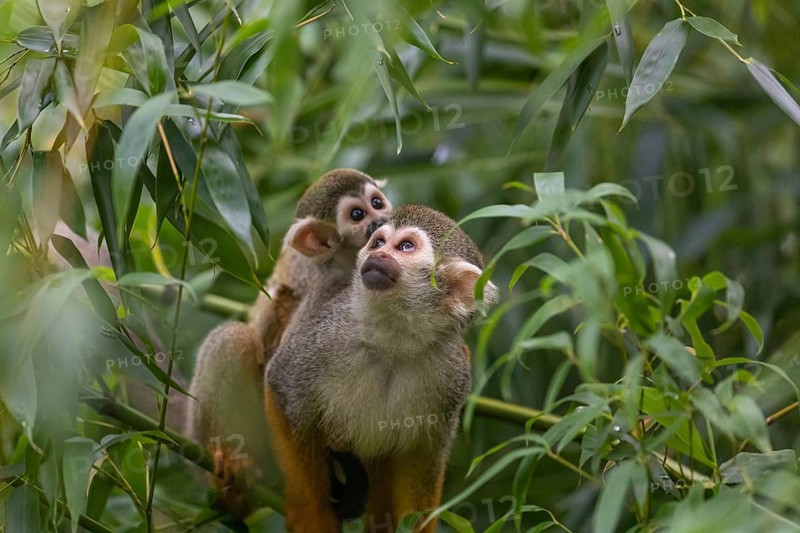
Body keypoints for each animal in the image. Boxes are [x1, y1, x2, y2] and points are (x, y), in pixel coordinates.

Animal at [264, 205, 499, 532]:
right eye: (378, 243)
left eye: (405, 247)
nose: (378, 255)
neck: (393, 342)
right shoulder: (328, 335)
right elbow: (281, 389)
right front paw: (311, 512)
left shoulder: (453, 373)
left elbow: (422, 457)